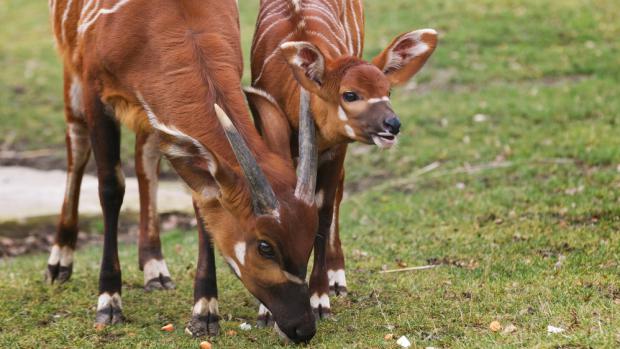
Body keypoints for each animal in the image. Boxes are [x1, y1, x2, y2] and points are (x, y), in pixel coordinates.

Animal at [47, 0, 320, 342]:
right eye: (265, 246)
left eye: (311, 236)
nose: (303, 327)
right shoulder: (94, 89)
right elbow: (110, 187)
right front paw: (109, 303)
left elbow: (200, 204)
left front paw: (204, 313)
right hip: (73, 76)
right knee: (78, 144)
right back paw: (60, 261)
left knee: (146, 159)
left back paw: (155, 267)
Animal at [247, 0, 436, 320]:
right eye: (350, 94)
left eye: (387, 90)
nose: (392, 125)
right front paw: (267, 309)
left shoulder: (335, 150)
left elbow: (322, 213)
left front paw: (319, 299)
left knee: (338, 193)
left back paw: (337, 277)